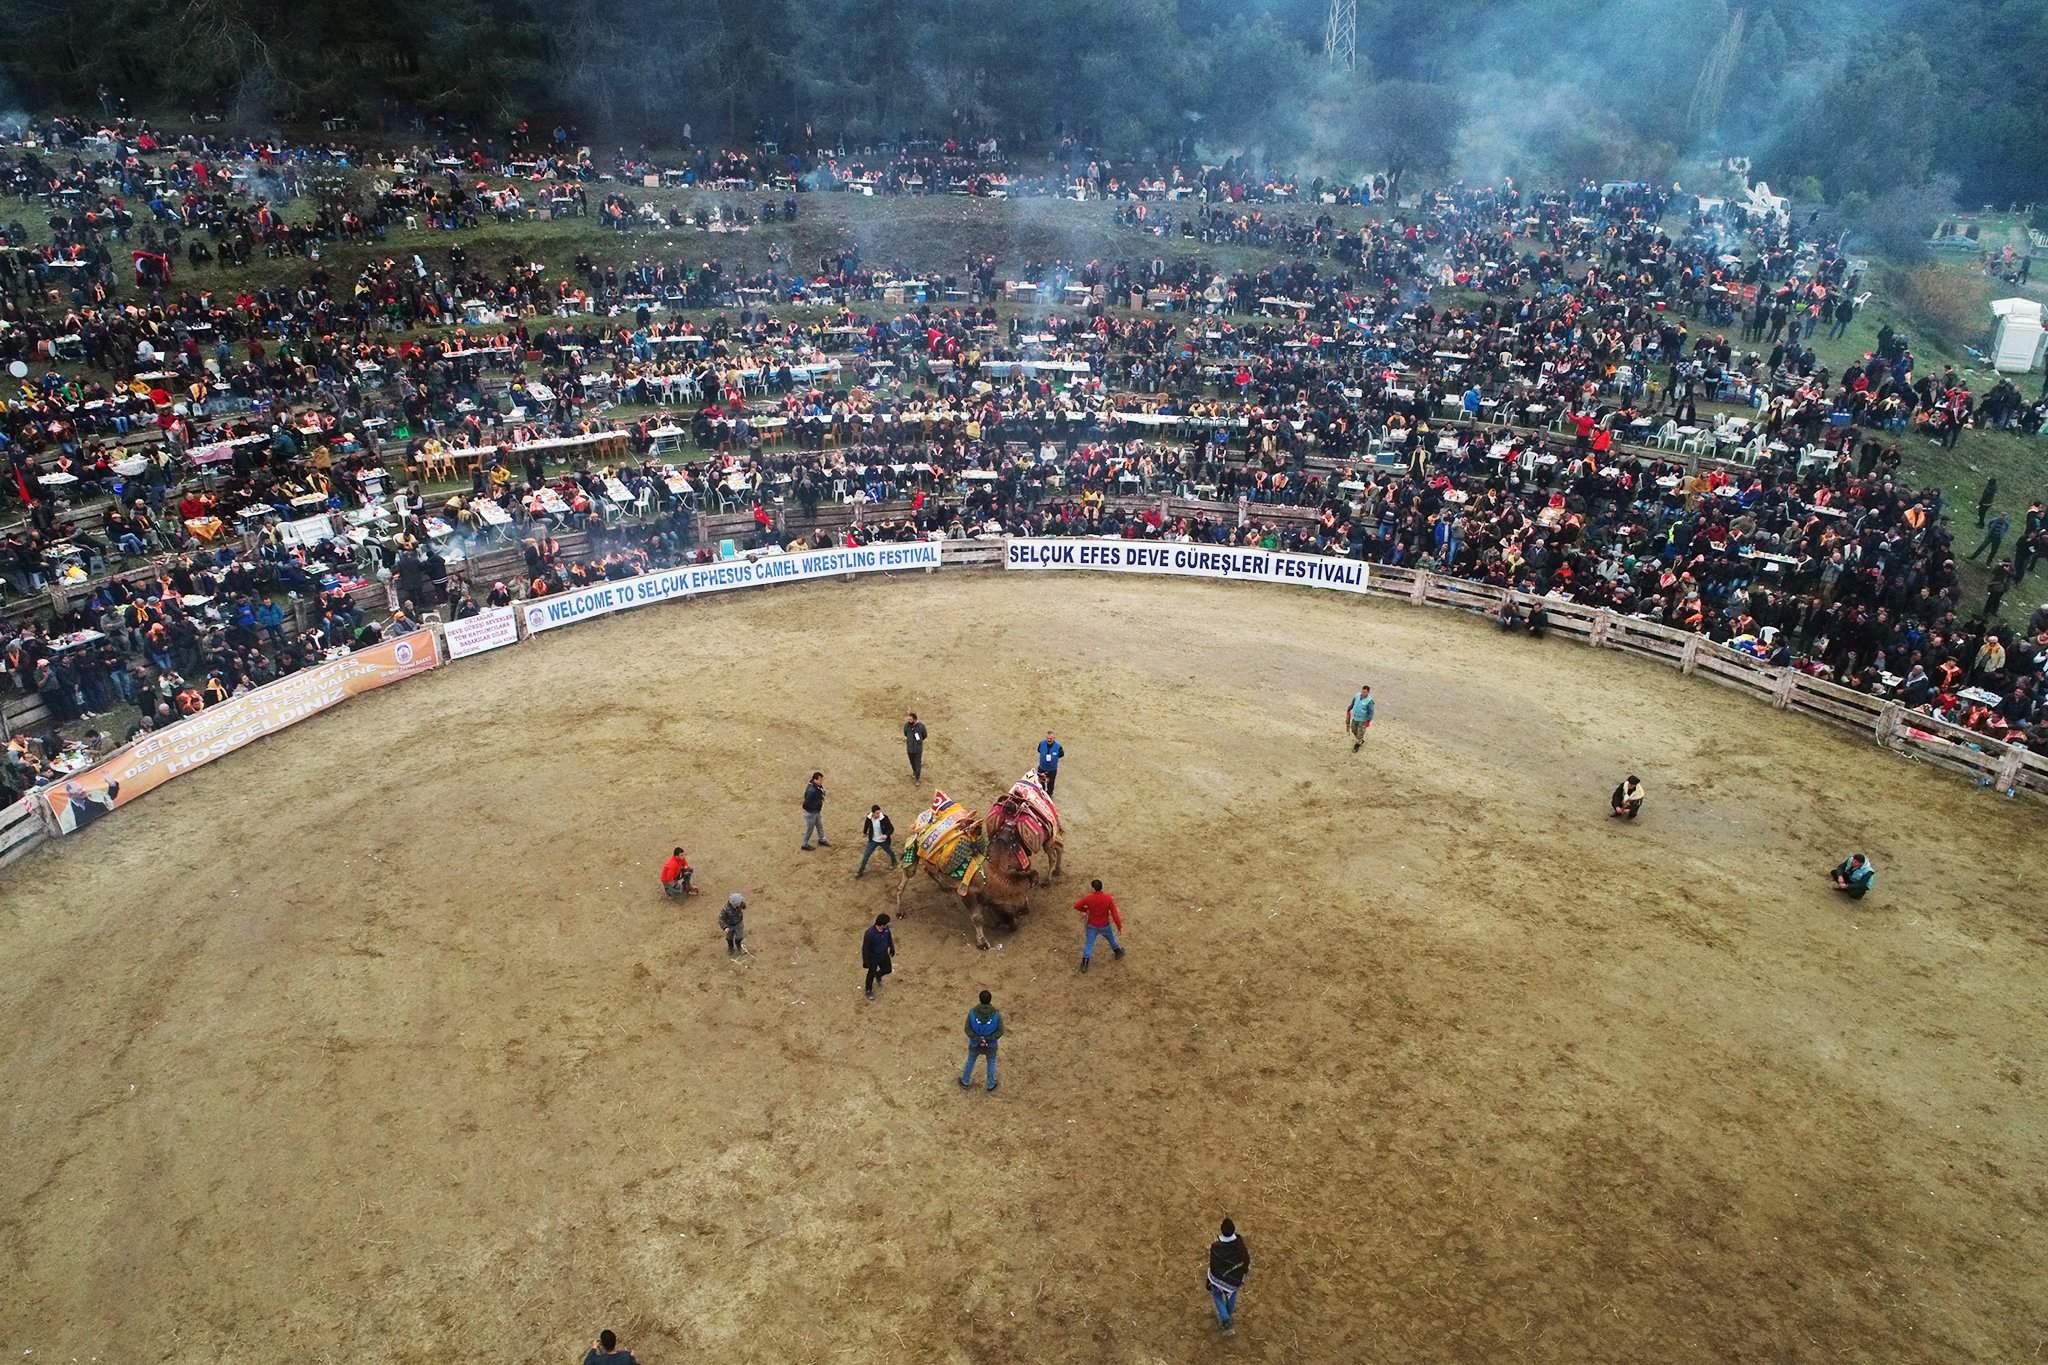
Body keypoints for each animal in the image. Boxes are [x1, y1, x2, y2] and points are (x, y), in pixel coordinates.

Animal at [888, 777, 1064, 949]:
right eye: (1018, 905)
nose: (1025, 911)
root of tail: (923, 818)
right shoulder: (968, 893)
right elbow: (977, 918)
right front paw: (983, 942)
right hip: (914, 851)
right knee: (903, 883)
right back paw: (899, 910)